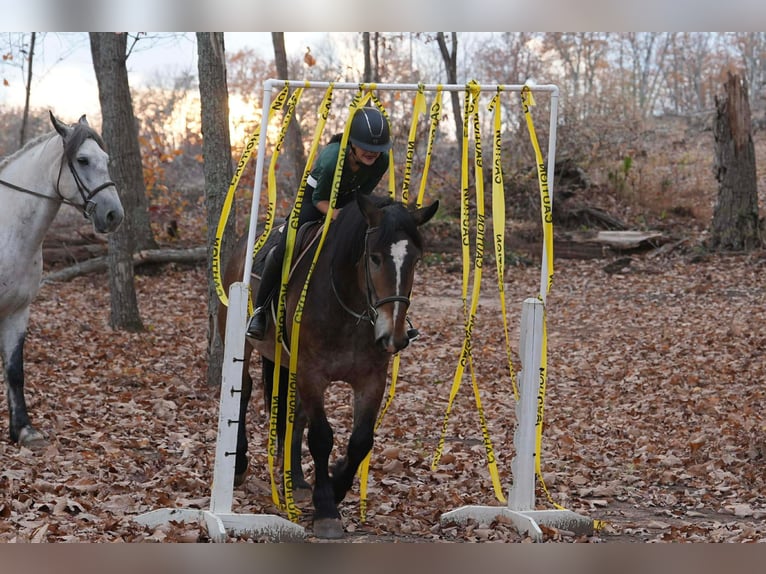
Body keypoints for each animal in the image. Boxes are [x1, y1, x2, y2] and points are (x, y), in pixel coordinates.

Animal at [0, 112, 124, 448]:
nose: (114, 215)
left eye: (106, 160)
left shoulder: (18, 311)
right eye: (82, 160)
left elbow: (14, 370)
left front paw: (24, 430)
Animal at [219, 192, 438, 539]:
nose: (394, 335)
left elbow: (361, 441)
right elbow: (321, 437)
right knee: (243, 392)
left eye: (415, 261)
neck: (347, 303)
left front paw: (335, 487)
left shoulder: (371, 380)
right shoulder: (313, 374)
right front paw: (325, 509)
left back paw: (296, 480)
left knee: (294, 415)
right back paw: (239, 465)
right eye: (374, 258)